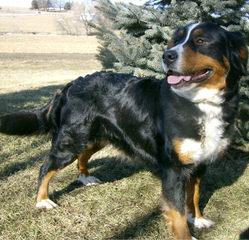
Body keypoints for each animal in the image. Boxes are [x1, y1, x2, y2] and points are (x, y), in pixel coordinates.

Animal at [0, 23, 248, 240]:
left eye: (201, 41)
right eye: (175, 41)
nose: (167, 55)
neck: (200, 102)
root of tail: (71, 84)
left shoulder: (200, 162)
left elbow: (193, 196)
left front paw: (197, 218)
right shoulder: (174, 169)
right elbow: (176, 214)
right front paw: (187, 233)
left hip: (96, 136)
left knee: (83, 156)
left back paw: (85, 178)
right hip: (71, 140)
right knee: (46, 167)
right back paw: (42, 200)